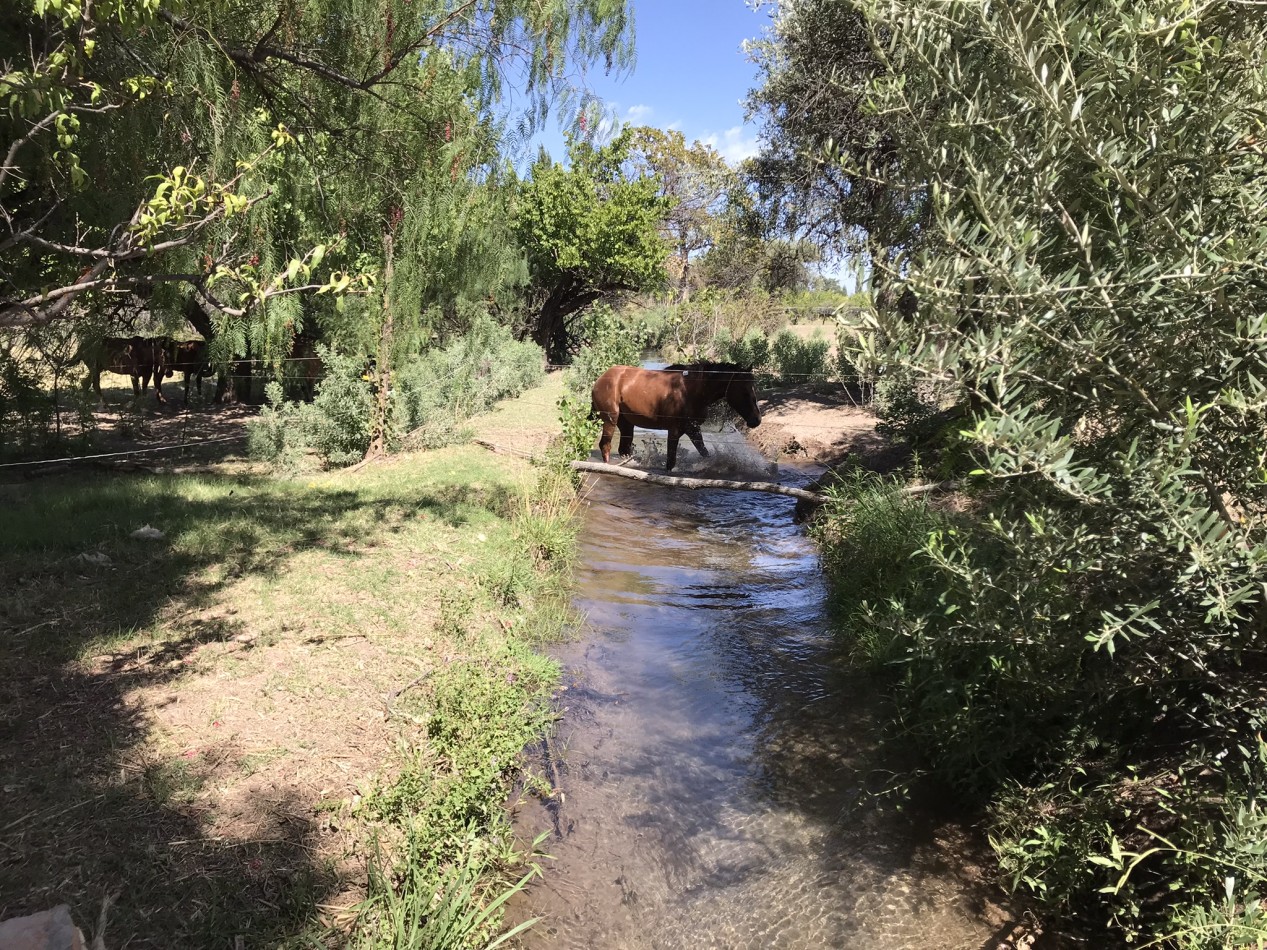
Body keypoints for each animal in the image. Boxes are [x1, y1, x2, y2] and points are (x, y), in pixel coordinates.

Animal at [592, 359, 760, 473]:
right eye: (745, 391)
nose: (756, 420)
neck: (691, 391)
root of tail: (601, 378)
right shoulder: (674, 431)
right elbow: (670, 462)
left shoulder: (693, 429)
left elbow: (705, 453)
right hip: (610, 419)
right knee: (605, 446)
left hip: (626, 424)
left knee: (623, 450)